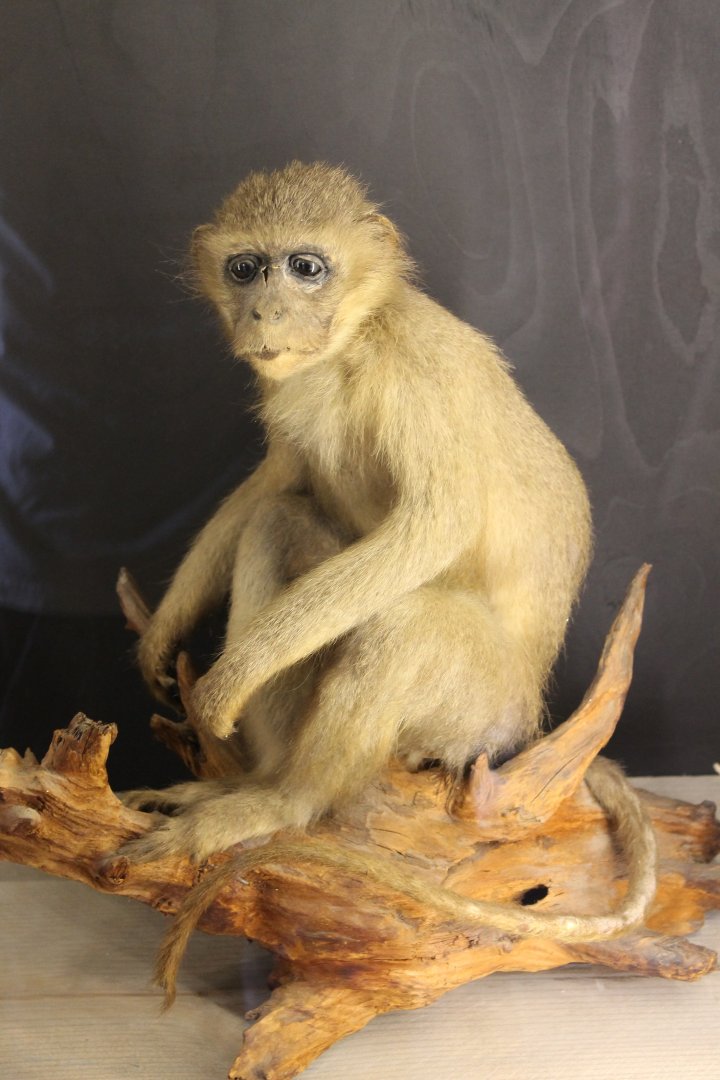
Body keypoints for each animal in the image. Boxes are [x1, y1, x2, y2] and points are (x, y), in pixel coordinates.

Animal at [121, 161, 656, 950]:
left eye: (306, 268)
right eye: (245, 268)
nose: (266, 314)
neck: (354, 343)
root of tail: (529, 723)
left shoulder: (416, 373)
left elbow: (434, 526)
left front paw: (228, 681)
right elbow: (274, 484)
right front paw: (162, 633)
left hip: (482, 712)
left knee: (405, 624)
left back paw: (287, 802)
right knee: (279, 521)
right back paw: (257, 782)